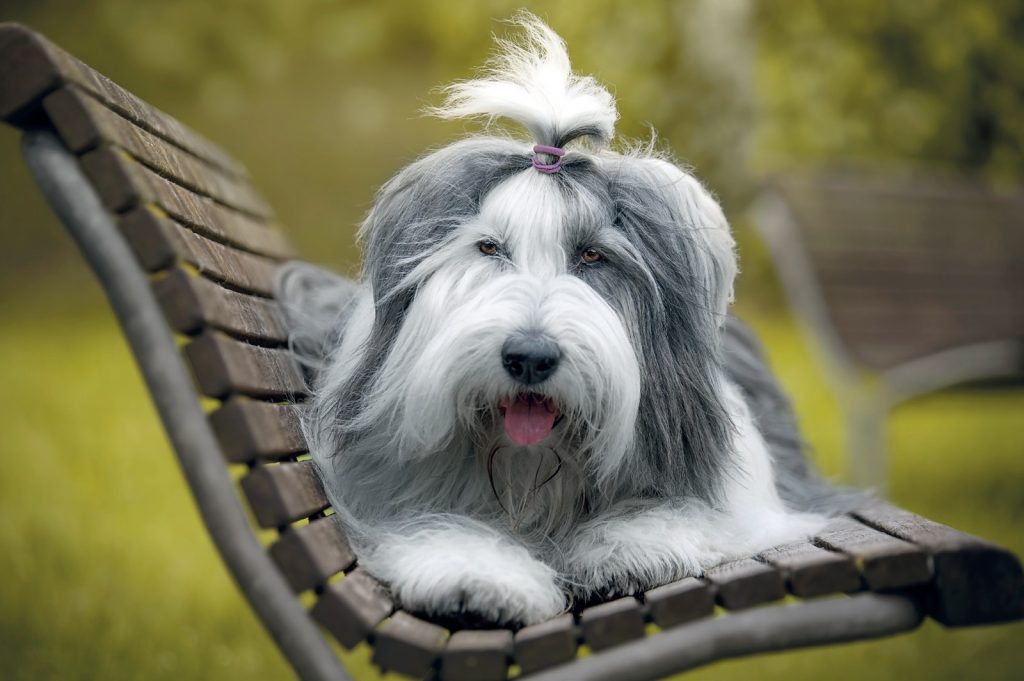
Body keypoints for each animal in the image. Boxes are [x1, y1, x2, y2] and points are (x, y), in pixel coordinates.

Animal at [274, 11, 856, 626]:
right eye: (489, 248)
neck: (529, 471)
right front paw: (479, 575)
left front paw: (627, 547)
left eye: (593, 256)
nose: (530, 357)